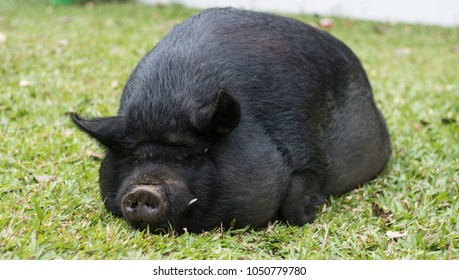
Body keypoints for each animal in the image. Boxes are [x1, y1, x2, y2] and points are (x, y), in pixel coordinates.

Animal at [71, 7, 392, 233]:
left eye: (190, 157)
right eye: (135, 158)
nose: (143, 190)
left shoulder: (309, 152)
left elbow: (296, 201)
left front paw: (315, 208)